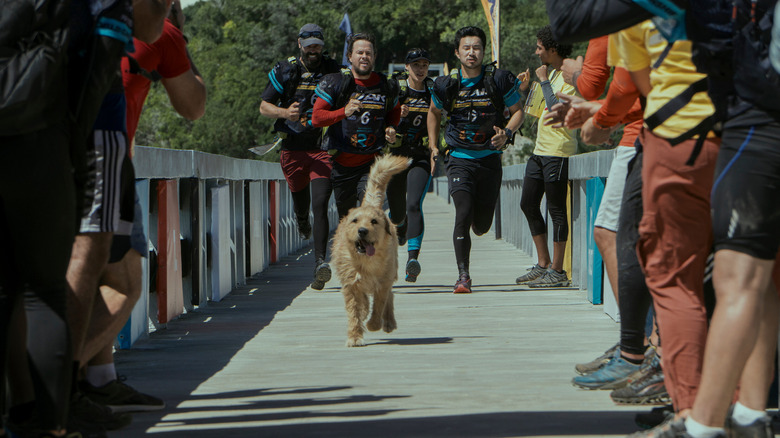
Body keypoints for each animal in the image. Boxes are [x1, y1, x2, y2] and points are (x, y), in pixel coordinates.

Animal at [332, 156, 412, 348]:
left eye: (374, 221)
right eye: (355, 220)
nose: (362, 231)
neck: (366, 262)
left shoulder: (383, 282)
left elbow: (380, 304)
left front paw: (374, 324)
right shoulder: (351, 285)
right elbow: (354, 311)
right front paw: (354, 336)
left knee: (389, 297)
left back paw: (388, 322)